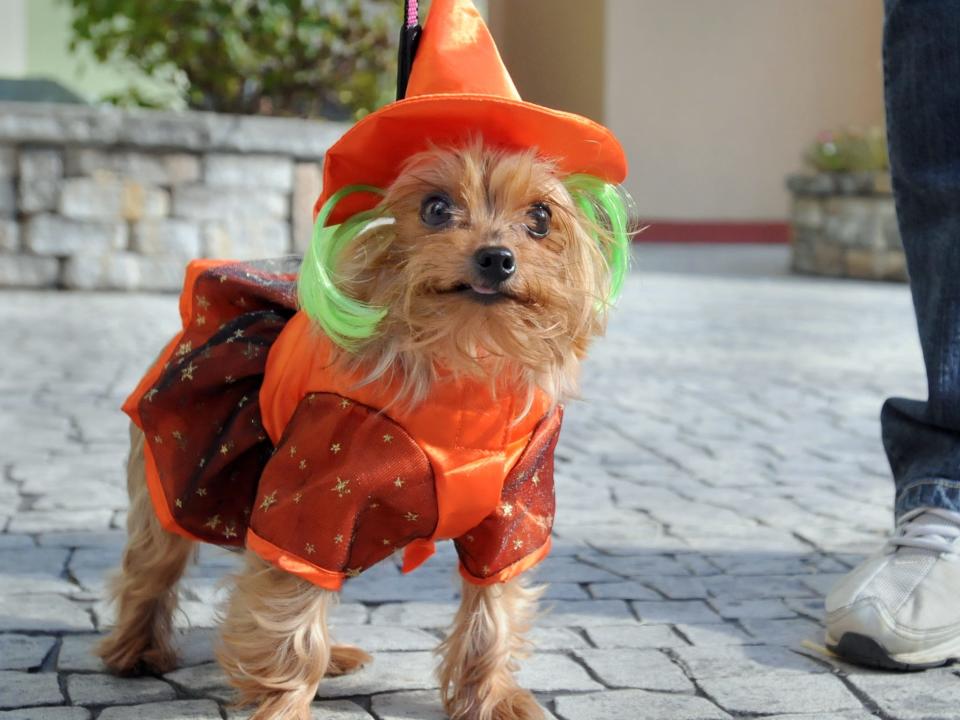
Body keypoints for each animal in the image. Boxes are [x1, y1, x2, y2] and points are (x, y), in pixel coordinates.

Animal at [97, 142, 632, 720]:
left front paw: (491, 698)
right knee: (152, 564)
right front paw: (285, 704)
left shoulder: (513, 512)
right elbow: (291, 610)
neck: (461, 368)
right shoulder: (312, 502)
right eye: (435, 208)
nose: (497, 257)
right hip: (181, 467)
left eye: (540, 217)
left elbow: (491, 610)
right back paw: (135, 650)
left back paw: (333, 657)